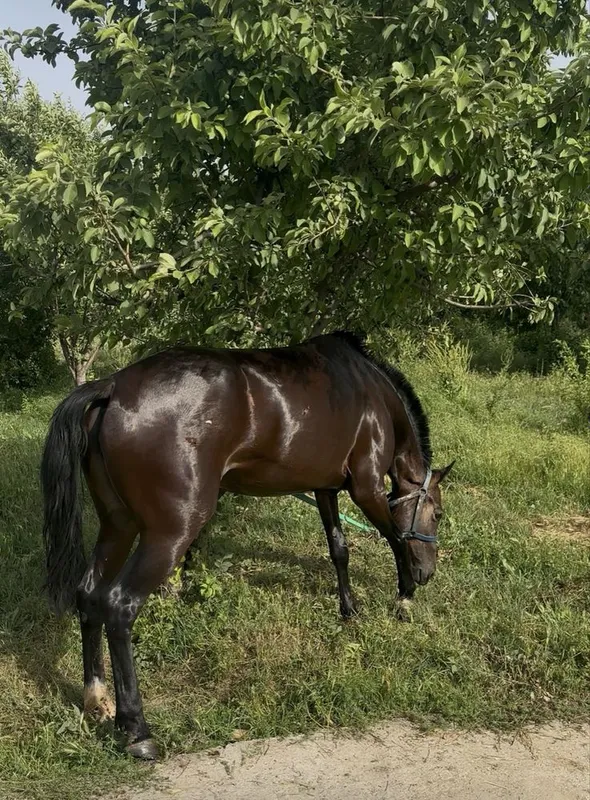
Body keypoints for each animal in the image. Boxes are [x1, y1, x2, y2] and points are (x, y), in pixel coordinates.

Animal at [40, 331, 453, 759]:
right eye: (438, 513)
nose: (428, 572)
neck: (372, 393)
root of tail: (113, 389)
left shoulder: (325, 487)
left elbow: (339, 548)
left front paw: (350, 610)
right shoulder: (366, 489)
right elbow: (396, 539)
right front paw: (404, 596)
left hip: (117, 525)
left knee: (89, 595)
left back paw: (96, 700)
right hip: (168, 533)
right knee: (119, 607)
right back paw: (137, 731)